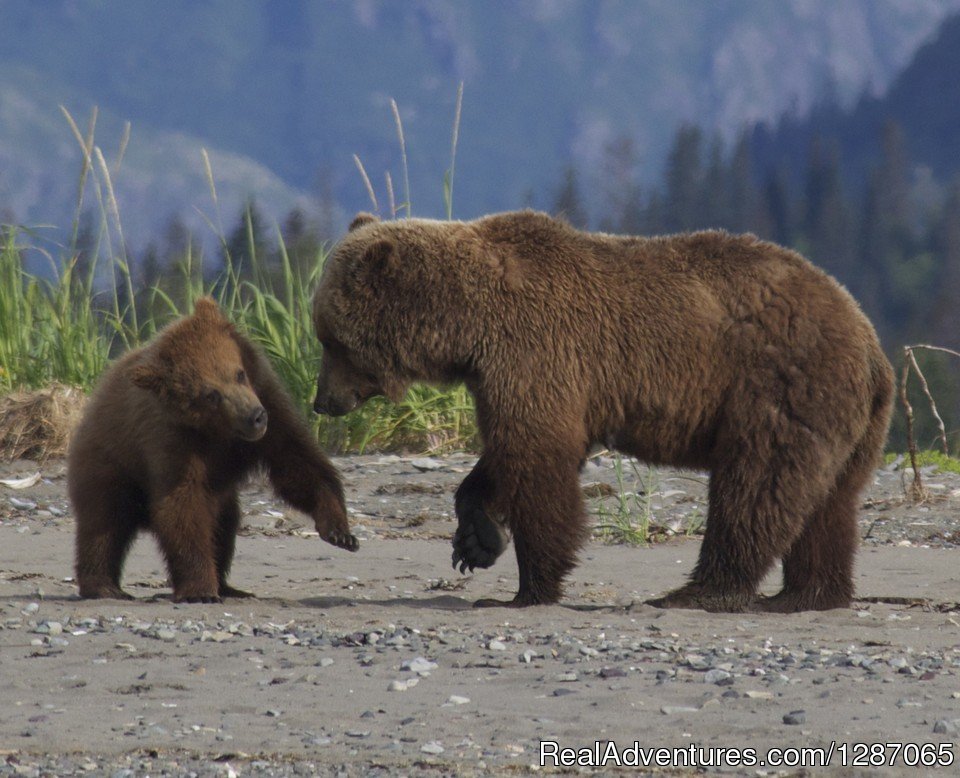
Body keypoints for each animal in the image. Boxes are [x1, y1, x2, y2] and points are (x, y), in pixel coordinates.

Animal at [68, 296, 356, 600]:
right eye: (211, 394)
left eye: (239, 374)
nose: (255, 417)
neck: (217, 431)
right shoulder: (171, 441)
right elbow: (183, 506)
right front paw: (200, 589)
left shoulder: (271, 410)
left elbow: (297, 463)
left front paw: (339, 531)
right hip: (109, 462)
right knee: (104, 523)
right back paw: (104, 585)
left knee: (225, 525)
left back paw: (229, 586)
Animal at [314, 209, 892, 608]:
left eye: (331, 340)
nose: (322, 401)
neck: (466, 327)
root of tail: (869, 339)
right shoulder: (512, 375)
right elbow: (507, 455)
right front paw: (476, 540)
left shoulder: (535, 349)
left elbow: (539, 460)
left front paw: (528, 586)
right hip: (848, 423)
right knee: (830, 503)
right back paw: (807, 594)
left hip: (781, 387)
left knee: (755, 489)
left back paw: (700, 590)